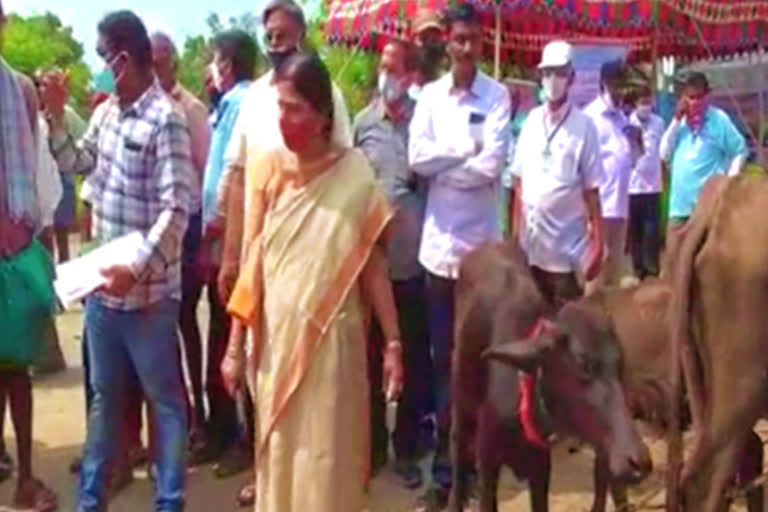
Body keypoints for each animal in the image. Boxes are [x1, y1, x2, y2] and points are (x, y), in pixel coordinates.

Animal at [448, 241, 652, 512]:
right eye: (582, 365)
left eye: (620, 365)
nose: (638, 463)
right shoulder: (488, 460)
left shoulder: (540, 465)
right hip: (461, 409)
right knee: (458, 457)